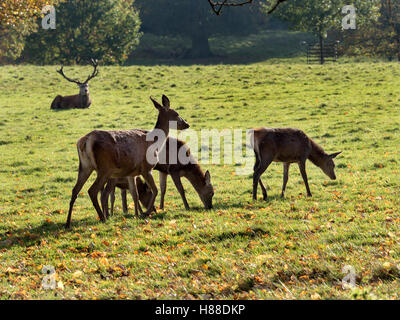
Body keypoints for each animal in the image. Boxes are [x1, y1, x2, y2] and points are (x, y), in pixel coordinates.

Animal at [65, 94, 190, 229]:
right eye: (176, 113)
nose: (187, 124)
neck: (155, 143)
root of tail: (85, 141)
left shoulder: (132, 173)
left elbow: (135, 193)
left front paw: (141, 213)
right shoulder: (146, 168)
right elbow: (155, 190)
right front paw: (146, 213)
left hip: (85, 166)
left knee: (75, 190)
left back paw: (68, 222)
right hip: (104, 168)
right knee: (92, 191)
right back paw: (103, 218)